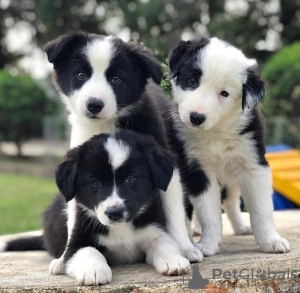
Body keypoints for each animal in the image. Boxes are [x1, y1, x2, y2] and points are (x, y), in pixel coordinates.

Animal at [44, 129, 190, 284]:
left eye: (130, 178)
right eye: (95, 182)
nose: (114, 213)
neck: (121, 229)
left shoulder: (153, 231)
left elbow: (164, 244)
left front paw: (173, 260)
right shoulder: (77, 240)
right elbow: (88, 250)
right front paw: (94, 269)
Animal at [168, 37, 290, 256]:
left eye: (224, 93)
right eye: (192, 81)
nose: (196, 117)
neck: (216, 131)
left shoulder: (253, 164)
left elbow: (261, 208)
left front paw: (271, 241)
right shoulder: (197, 170)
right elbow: (208, 211)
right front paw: (208, 244)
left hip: (233, 178)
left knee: (232, 202)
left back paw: (241, 228)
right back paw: (196, 230)